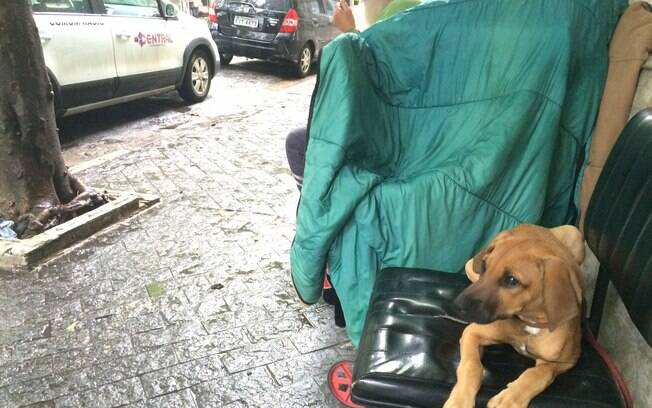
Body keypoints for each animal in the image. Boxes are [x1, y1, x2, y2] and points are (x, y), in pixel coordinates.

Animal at [444, 225, 584, 408]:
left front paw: (511, 398)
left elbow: (539, 373)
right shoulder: (472, 333)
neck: (529, 324)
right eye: (484, 266)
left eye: (511, 280)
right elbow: (471, 366)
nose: (456, 306)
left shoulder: (566, 361)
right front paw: (460, 400)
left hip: (575, 233)